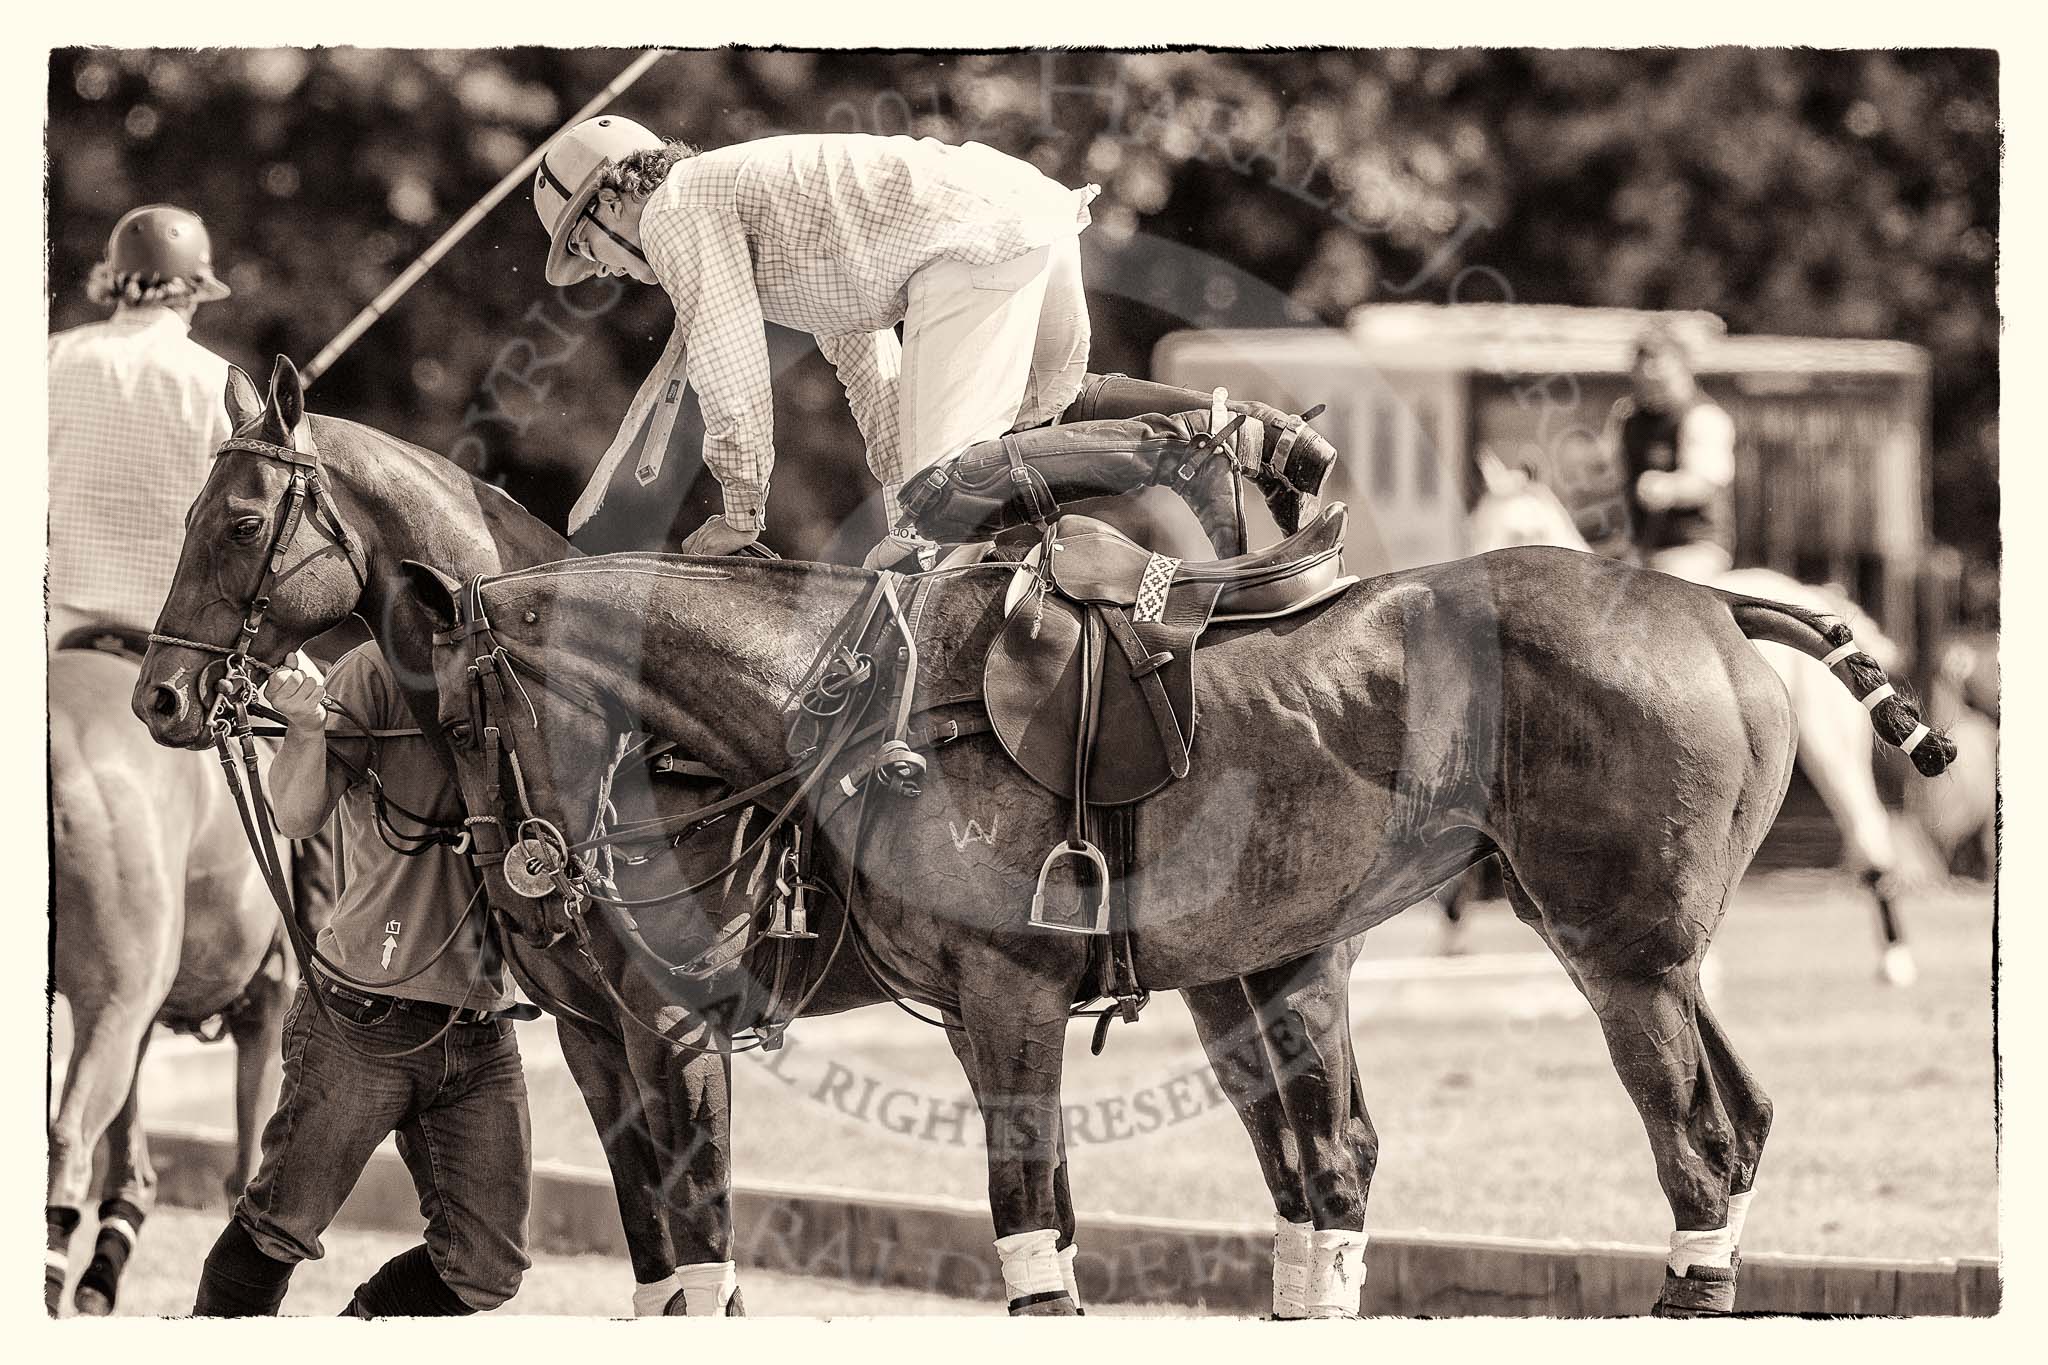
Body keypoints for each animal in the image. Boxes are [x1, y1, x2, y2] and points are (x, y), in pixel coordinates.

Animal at [132, 360, 1376, 1309]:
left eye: (237, 522)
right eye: (184, 516)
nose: (159, 697)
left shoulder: (677, 1025)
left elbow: (704, 1244)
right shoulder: (593, 1032)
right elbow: (654, 1251)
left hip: (1275, 963)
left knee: (1328, 1156)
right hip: (1223, 970)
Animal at [399, 527, 1949, 1309]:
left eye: (460, 718)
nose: (531, 882)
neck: (826, 703)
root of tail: (1712, 600)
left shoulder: (988, 999)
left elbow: (1021, 1228)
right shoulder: (639, 1031)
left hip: (1614, 957)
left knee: (1693, 1150)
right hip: (1610, 958)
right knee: (1716, 1130)